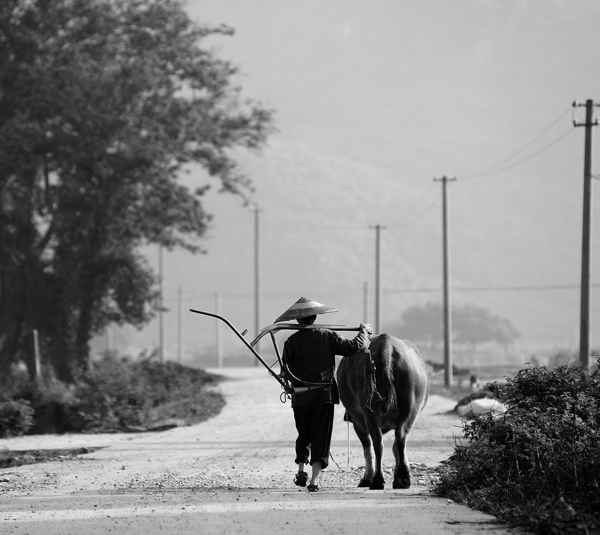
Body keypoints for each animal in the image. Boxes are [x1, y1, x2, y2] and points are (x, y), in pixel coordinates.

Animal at [336, 336, 428, 490]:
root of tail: (387, 347)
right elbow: (394, 447)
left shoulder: (357, 423)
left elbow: (367, 449)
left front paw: (366, 478)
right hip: (410, 408)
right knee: (399, 439)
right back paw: (401, 478)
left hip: (369, 412)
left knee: (378, 443)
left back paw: (377, 480)